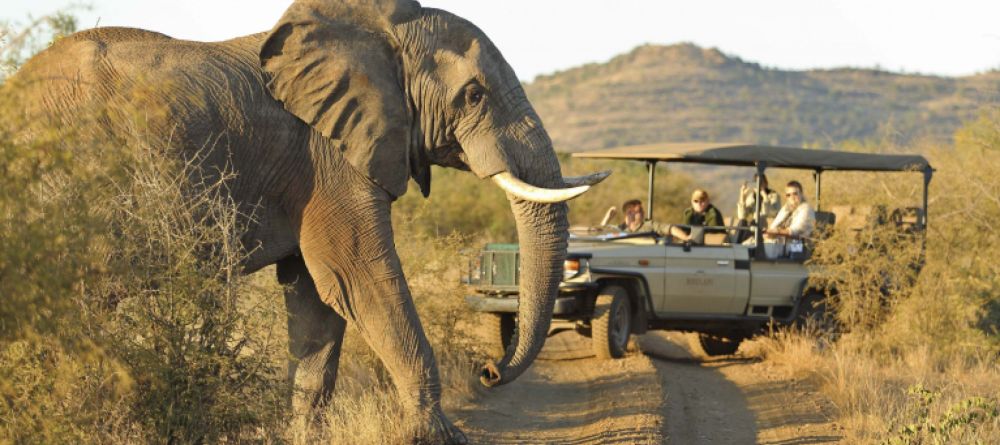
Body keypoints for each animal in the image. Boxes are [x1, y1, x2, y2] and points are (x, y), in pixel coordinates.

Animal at [7, 0, 608, 442]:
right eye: (474, 95)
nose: (489, 370)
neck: (378, 31)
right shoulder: (330, 161)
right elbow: (359, 278)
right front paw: (439, 437)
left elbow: (317, 300)